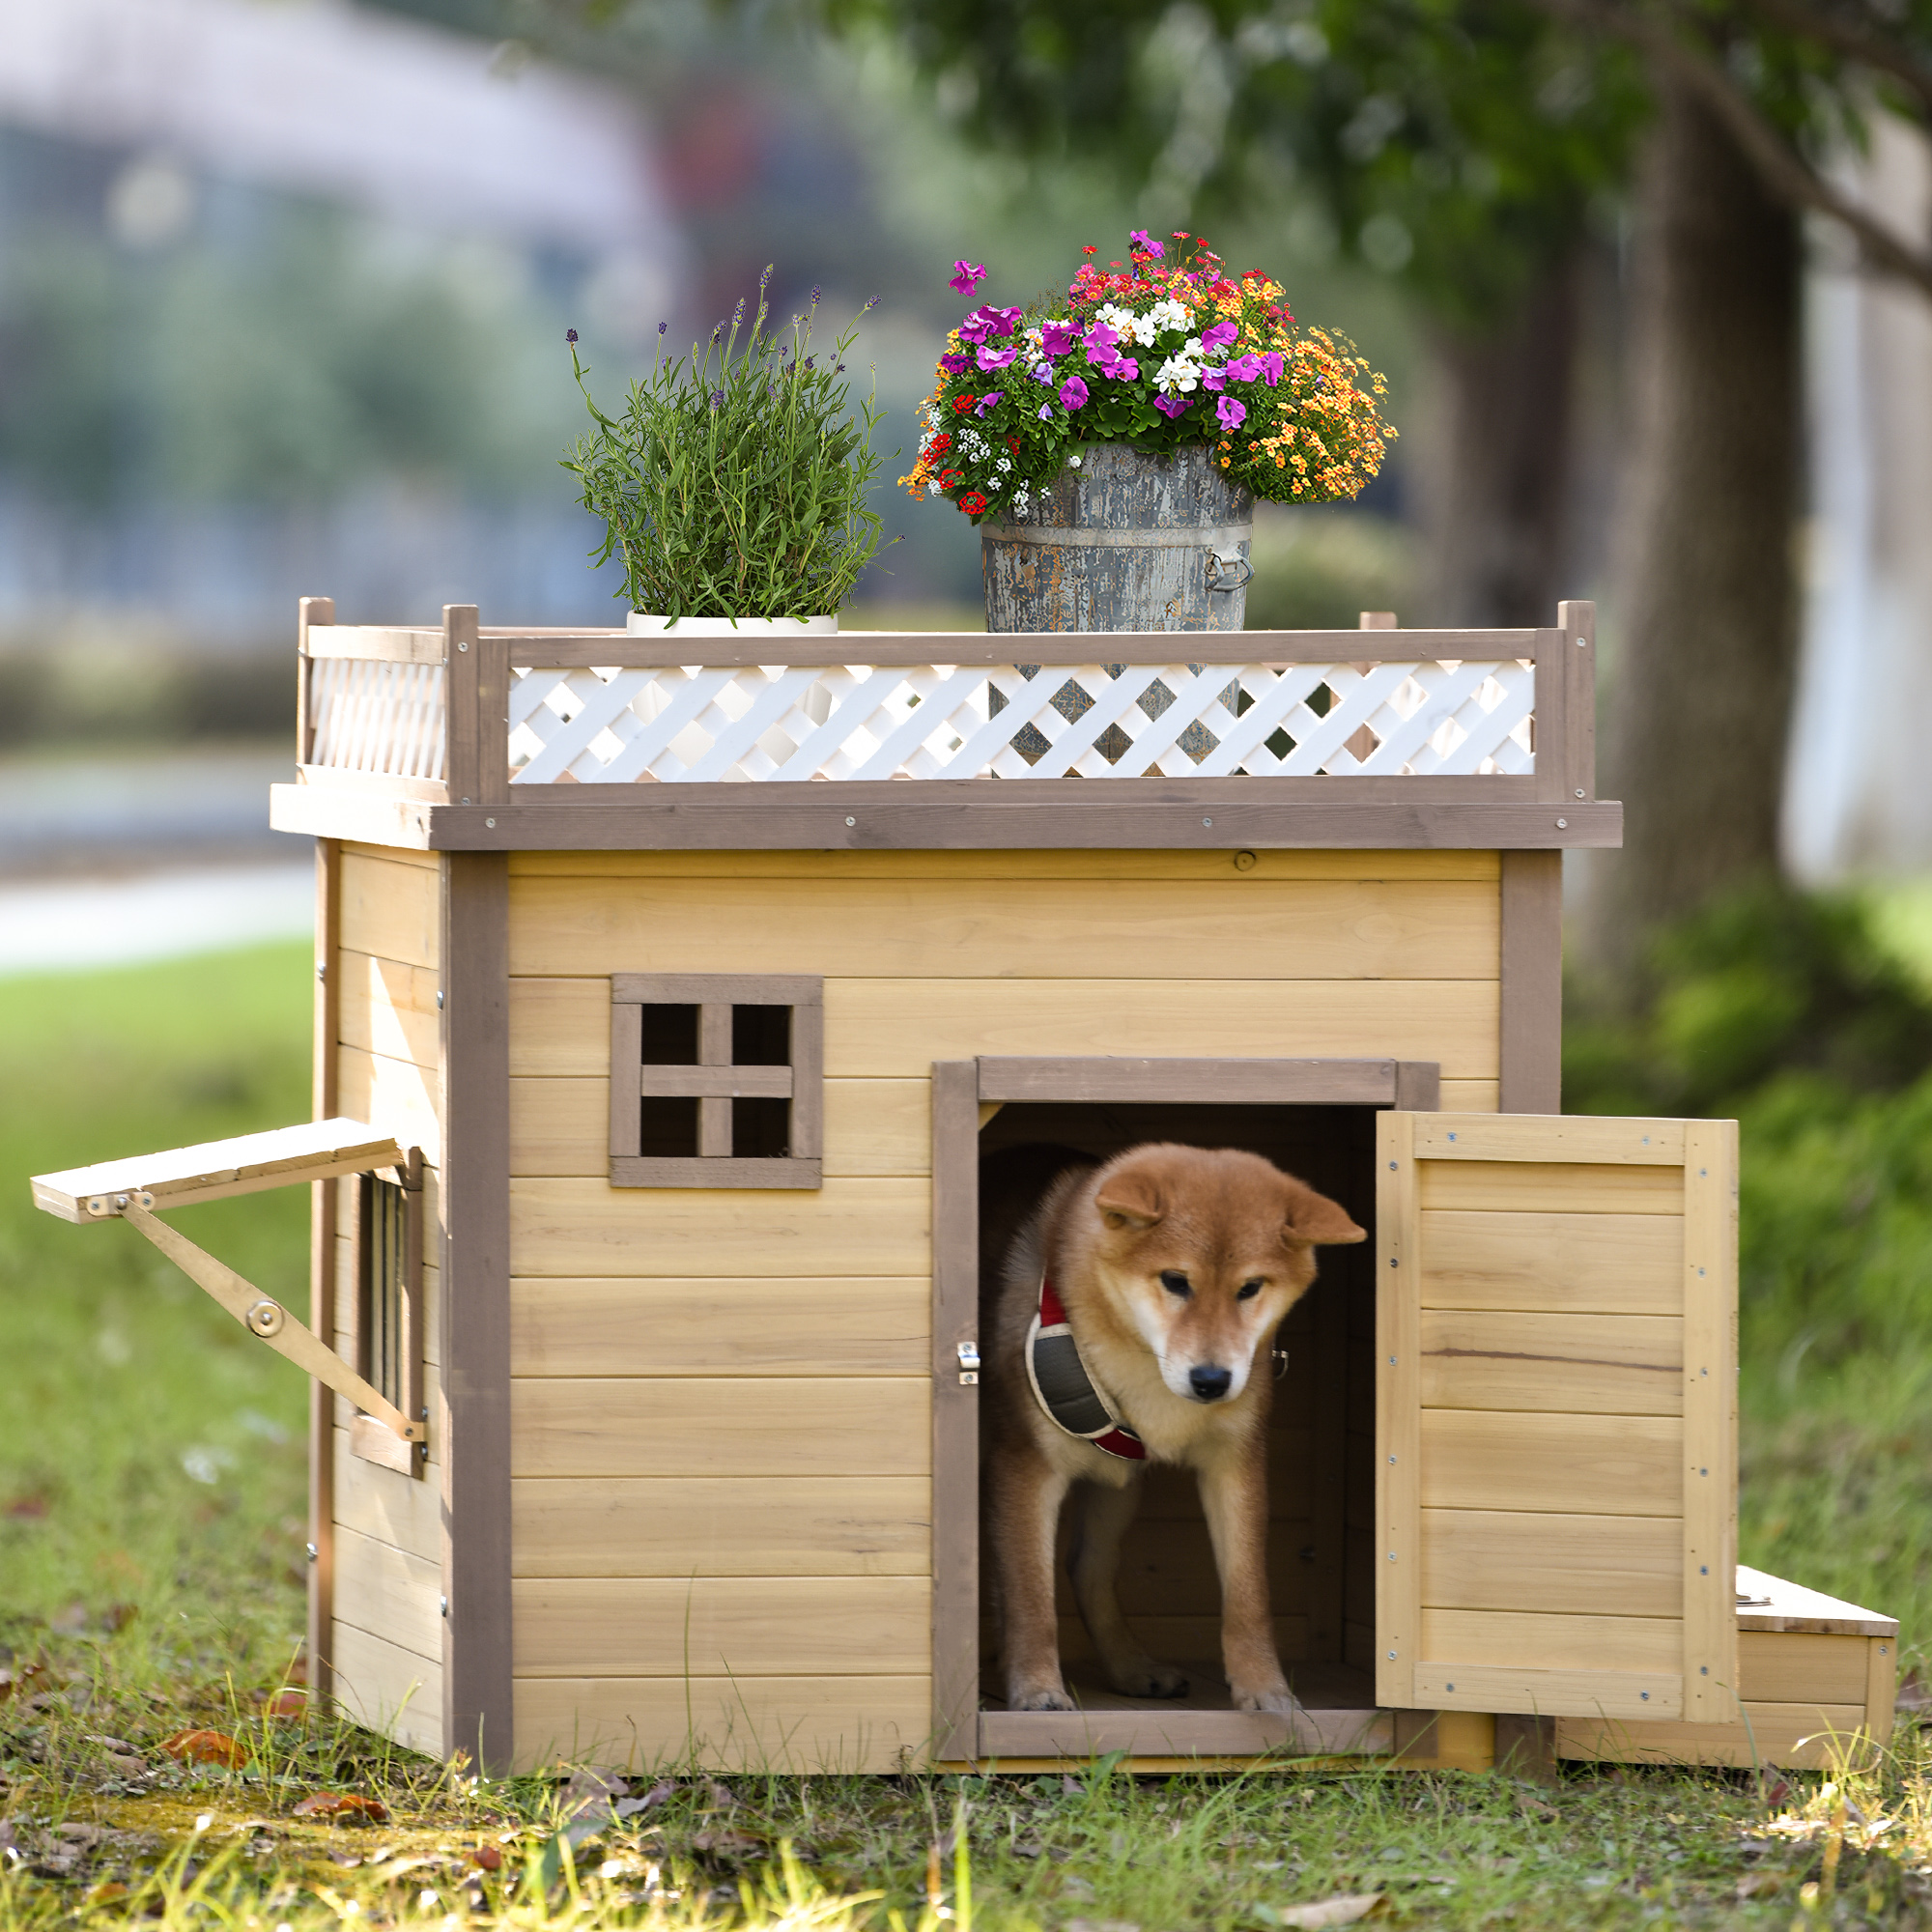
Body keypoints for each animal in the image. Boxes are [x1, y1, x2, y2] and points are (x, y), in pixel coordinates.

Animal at [981, 1136, 1376, 1716]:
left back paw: (1132, 1668)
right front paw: (1035, 1689)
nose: (1211, 1380)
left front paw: (1266, 1690)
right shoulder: (1026, 1466)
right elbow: (1030, 1597)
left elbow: (1248, 1595)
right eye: (1175, 1281)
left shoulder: (1234, 1464)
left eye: (1250, 1288)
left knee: (1086, 1567)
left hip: (1117, 1487)